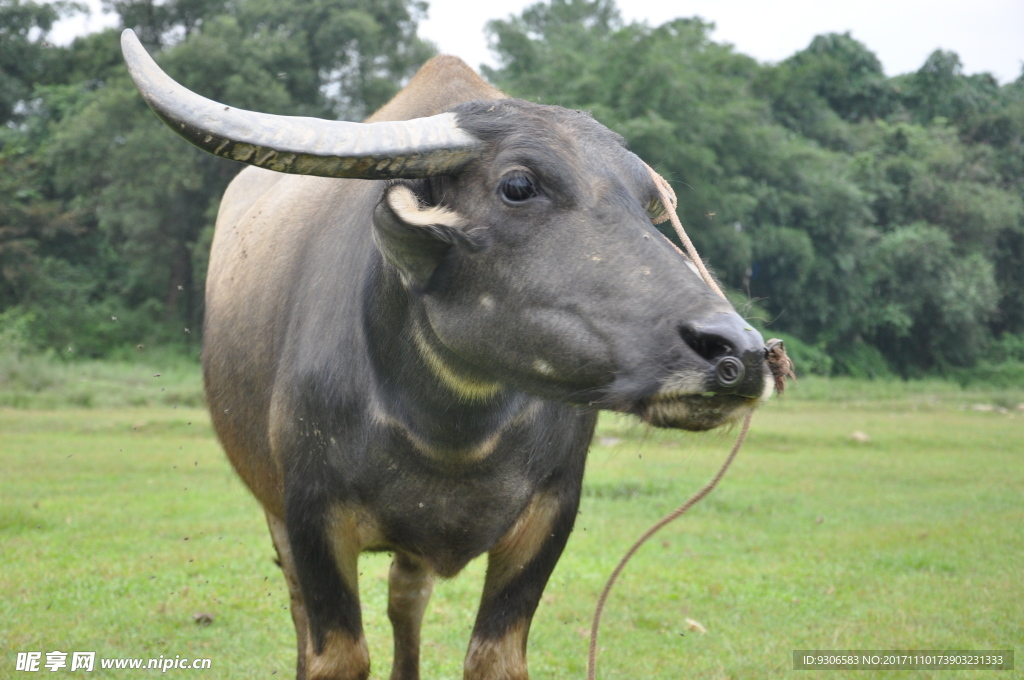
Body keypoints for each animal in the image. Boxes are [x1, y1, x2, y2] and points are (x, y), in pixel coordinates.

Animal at [121, 29, 770, 680]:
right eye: (518, 185)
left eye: (645, 202)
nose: (738, 353)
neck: (449, 428)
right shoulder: (309, 514)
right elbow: (337, 654)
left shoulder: (552, 512)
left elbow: (494, 656)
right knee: (304, 611)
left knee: (406, 597)